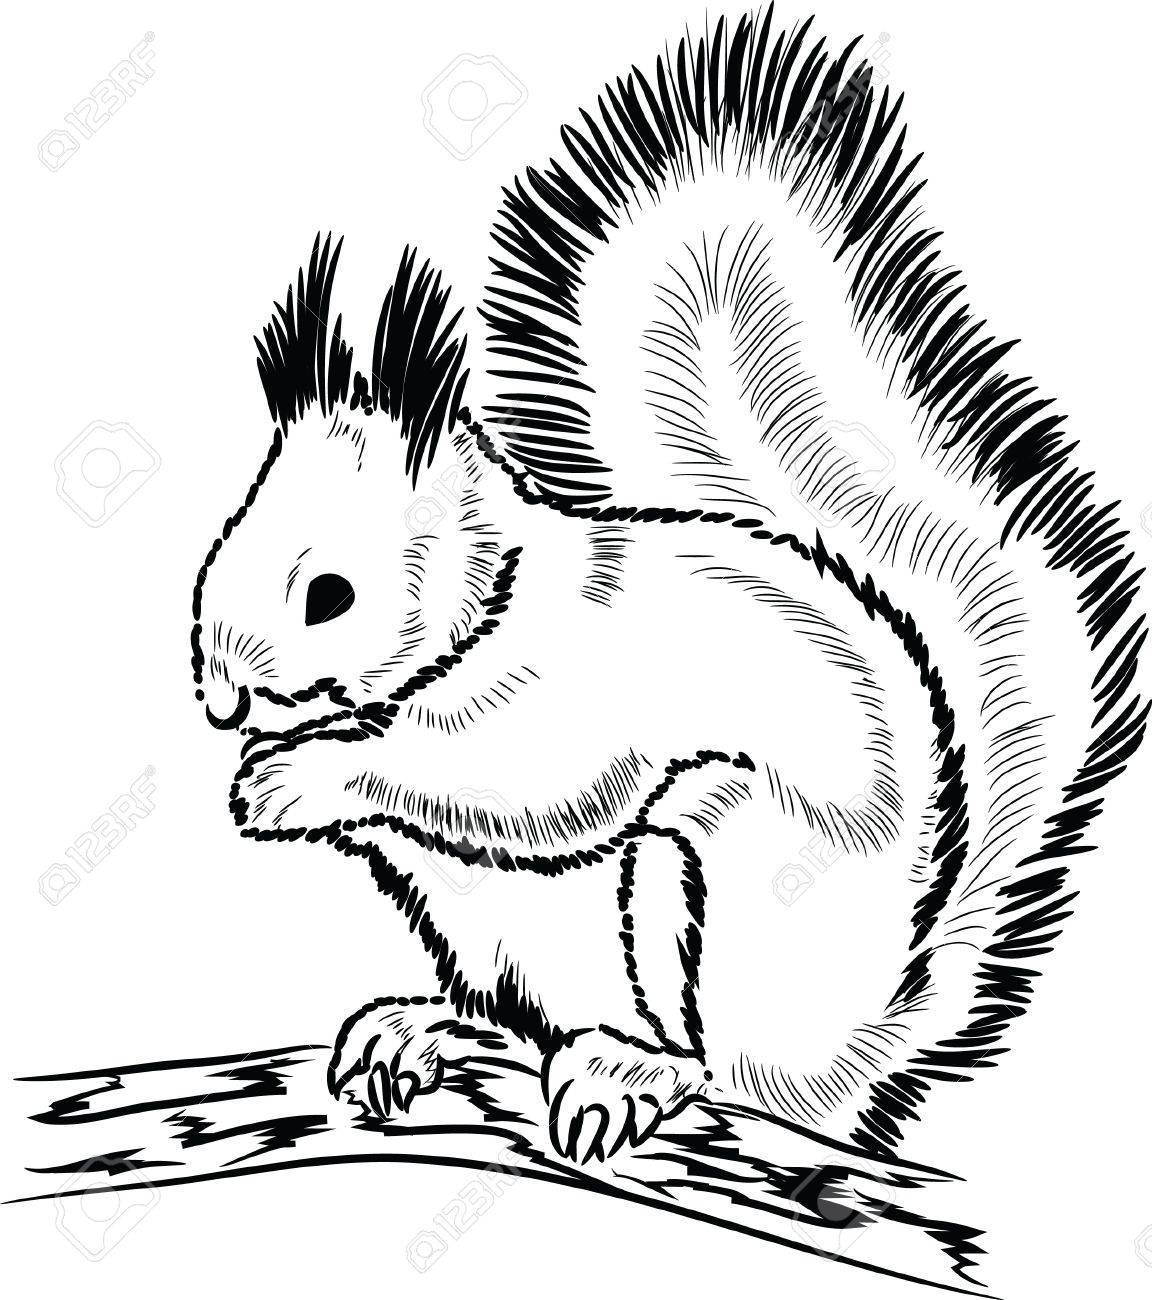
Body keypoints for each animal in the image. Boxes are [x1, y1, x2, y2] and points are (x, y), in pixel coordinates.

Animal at [191, 13, 1146, 1163]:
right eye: (222, 550)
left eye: (328, 593)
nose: (221, 697)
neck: (495, 605)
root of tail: (850, 1066)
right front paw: (268, 771)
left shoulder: (575, 695)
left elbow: (515, 788)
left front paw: (299, 778)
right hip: (495, 938)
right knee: (513, 1015)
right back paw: (424, 1030)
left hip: (706, 876)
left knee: (713, 1059)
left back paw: (637, 1067)